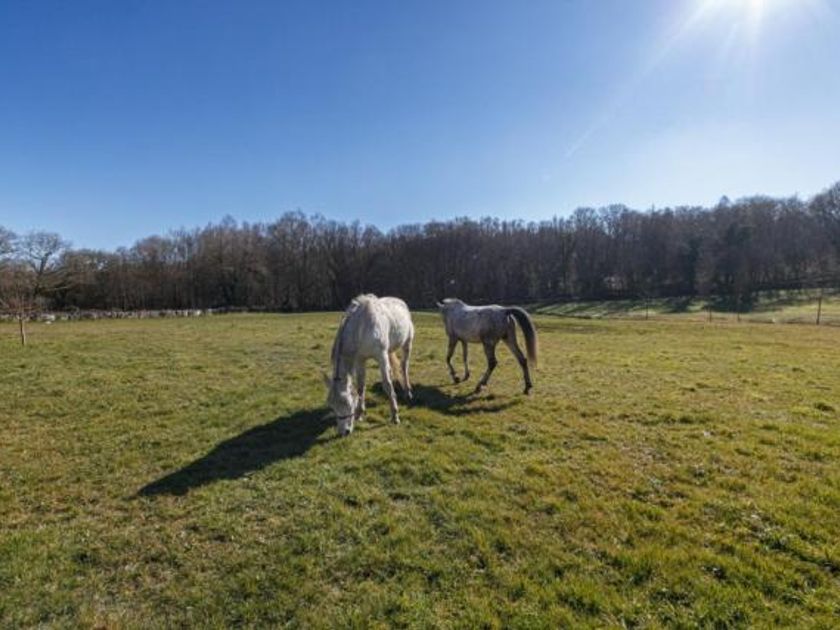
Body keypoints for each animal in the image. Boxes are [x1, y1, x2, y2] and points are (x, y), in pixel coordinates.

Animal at [324, 294, 415, 436]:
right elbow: (361, 386)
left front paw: (395, 415)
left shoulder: (381, 355)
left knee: (404, 367)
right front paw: (360, 413)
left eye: (348, 404)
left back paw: (408, 393)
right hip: (389, 351)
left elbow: (387, 385)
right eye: (332, 406)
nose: (344, 432)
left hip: (407, 344)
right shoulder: (360, 359)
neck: (362, 327)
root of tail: (401, 302)